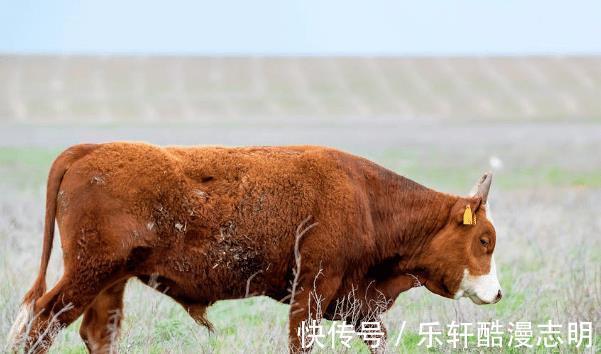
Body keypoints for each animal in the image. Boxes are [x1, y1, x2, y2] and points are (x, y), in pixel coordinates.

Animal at [7, 142, 502, 352]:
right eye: (484, 239)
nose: (497, 293)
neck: (365, 199)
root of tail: (87, 150)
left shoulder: (355, 304)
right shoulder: (312, 290)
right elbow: (301, 341)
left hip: (112, 280)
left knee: (96, 332)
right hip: (86, 274)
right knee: (43, 321)